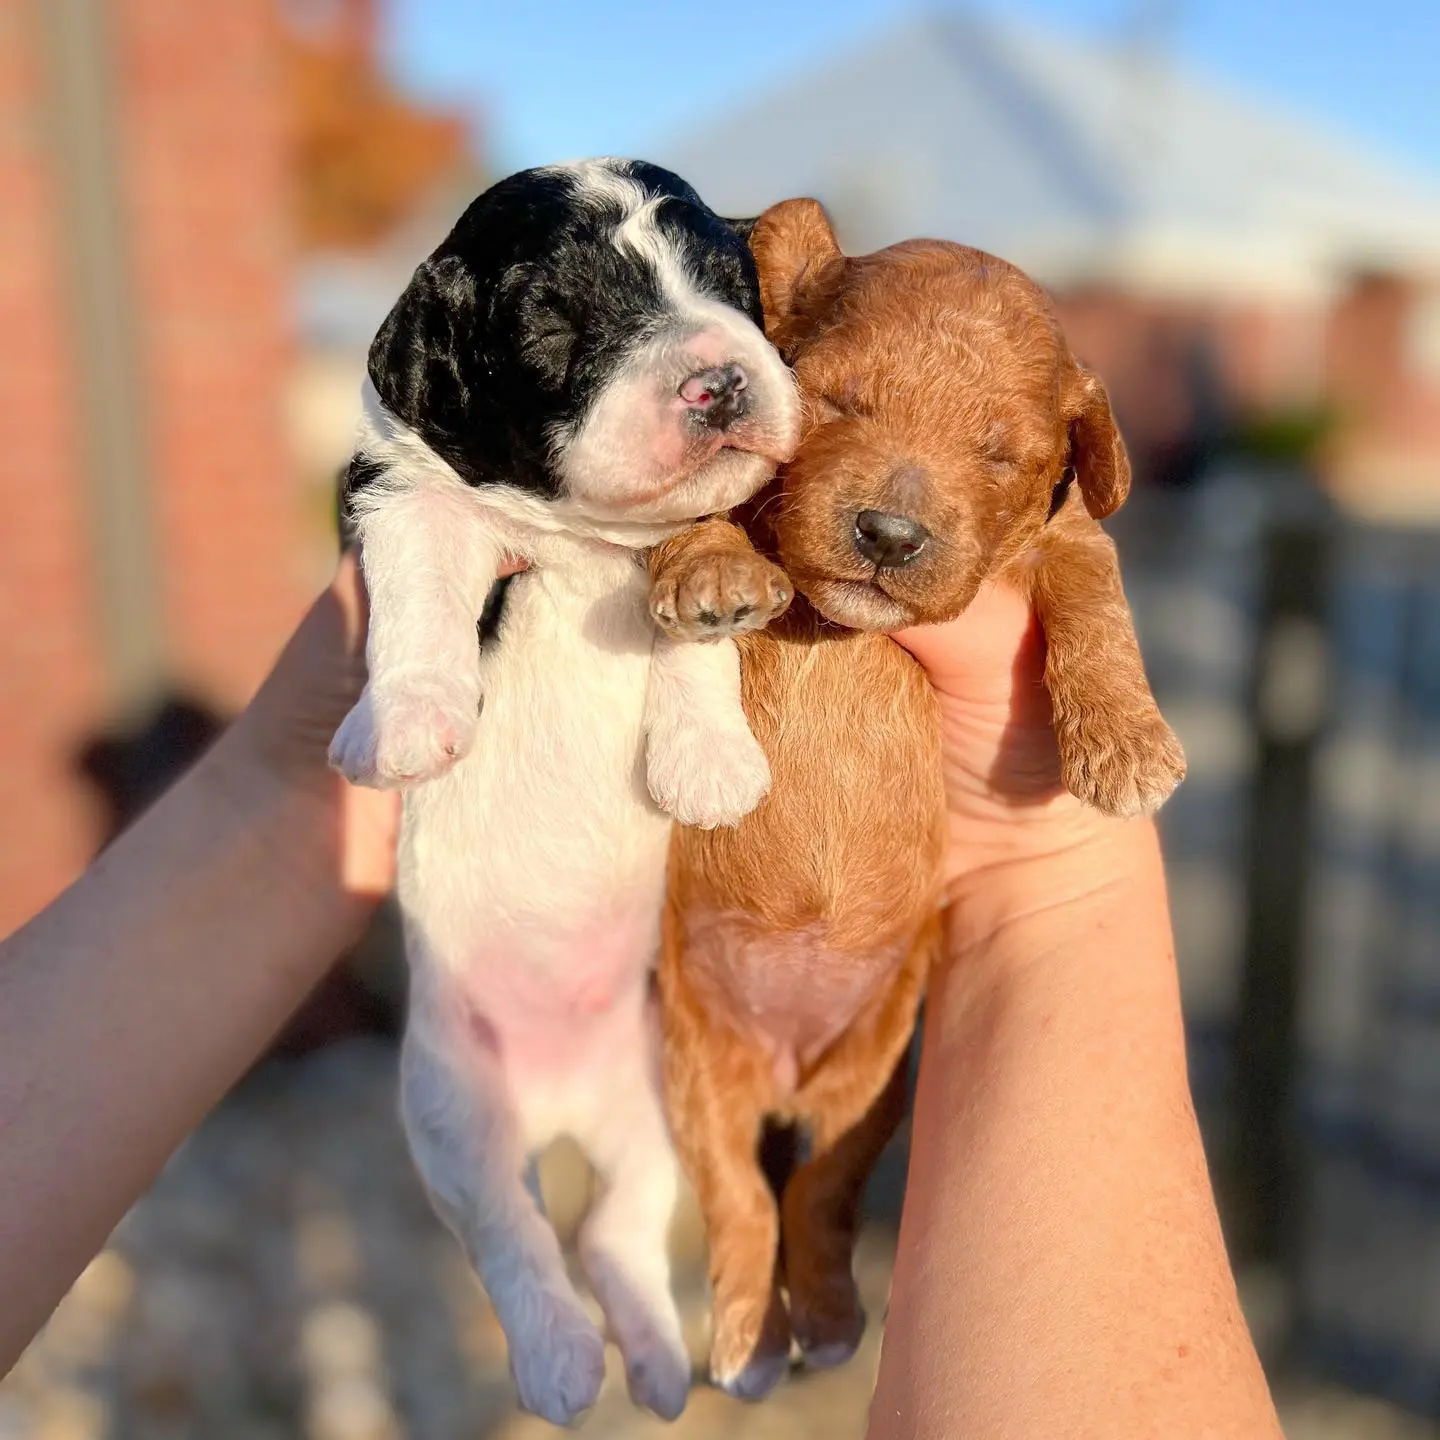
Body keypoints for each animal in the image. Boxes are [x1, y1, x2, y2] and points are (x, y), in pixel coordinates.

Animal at [328, 160, 800, 1428]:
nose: (718, 378)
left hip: (652, 1104)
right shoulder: (396, 490)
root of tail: (556, 1103)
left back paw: (656, 1361)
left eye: (730, 285)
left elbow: (700, 623)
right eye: (556, 327)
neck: (586, 543)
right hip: (447, 1110)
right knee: (512, 1233)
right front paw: (410, 723)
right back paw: (557, 1360)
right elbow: (421, 593)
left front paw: (708, 767)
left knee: (612, 1229)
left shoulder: (698, 544)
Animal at [648, 197, 1186, 1399]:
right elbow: (700, 501)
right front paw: (715, 566)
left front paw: (1127, 742)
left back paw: (827, 1317)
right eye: (836, 399)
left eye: (1000, 454)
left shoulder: (1066, 536)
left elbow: (1096, 588)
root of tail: (784, 1078)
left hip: (876, 1080)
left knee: (818, 1195)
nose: (889, 535)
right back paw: (749, 1339)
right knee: (741, 1201)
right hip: (691, 1072)